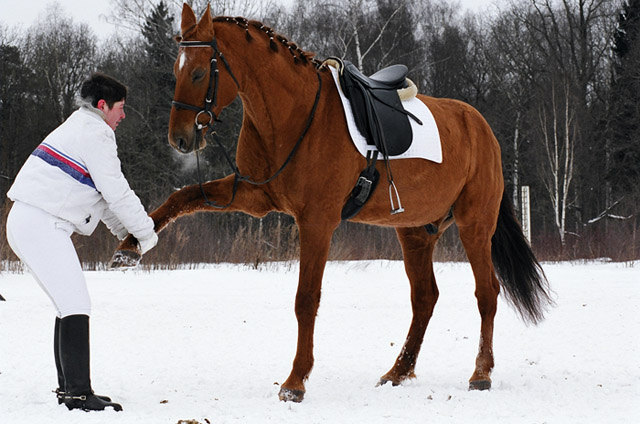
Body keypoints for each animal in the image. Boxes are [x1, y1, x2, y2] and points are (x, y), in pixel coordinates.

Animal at [110, 2, 552, 400]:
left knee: (486, 293)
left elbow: (306, 299)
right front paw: (130, 246)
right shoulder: (254, 195)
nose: (180, 138)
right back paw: (398, 371)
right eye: (176, 71)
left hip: (474, 224)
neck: (293, 116)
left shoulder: (317, 221)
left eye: (200, 71)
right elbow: (183, 196)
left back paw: (481, 373)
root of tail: (481, 127)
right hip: (414, 232)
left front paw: (295, 381)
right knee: (425, 298)